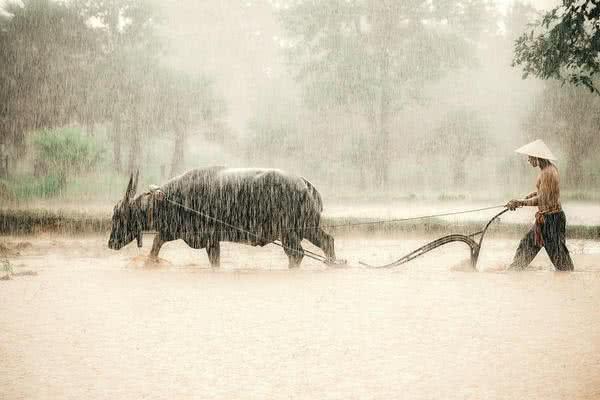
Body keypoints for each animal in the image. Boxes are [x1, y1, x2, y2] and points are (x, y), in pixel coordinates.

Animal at [106, 167, 336, 268]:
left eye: (118, 216)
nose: (110, 243)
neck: (173, 199)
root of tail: (304, 183)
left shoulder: (205, 236)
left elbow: (156, 242)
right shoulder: (195, 236)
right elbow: (157, 242)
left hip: (288, 231)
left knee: (296, 254)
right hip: (308, 227)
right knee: (327, 240)